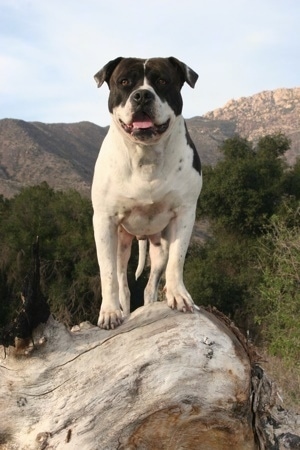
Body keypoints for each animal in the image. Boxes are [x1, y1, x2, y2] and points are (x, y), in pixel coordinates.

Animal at [92, 58, 203, 328]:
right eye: (124, 82)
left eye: (162, 81)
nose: (142, 95)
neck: (146, 154)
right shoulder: (103, 221)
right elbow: (107, 273)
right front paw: (109, 312)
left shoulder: (185, 214)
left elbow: (177, 260)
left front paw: (179, 295)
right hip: (122, 244)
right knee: (123, 284)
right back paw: (122, 311)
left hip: (158, 246)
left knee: (150, 285)